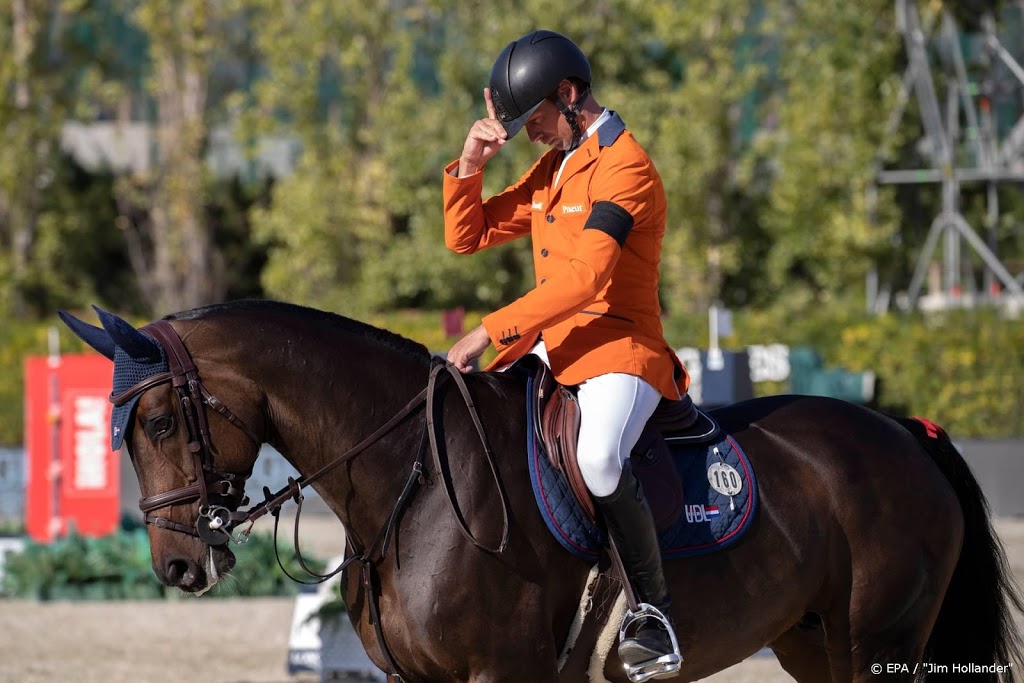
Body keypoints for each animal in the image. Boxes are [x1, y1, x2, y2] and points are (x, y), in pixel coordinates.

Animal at [58, 301, 1024, 679]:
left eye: (154, 424)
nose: (179, 567)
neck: (413, 478)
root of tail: (903, 431)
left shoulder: (502, 669)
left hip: (878, 640)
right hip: (811, 641)